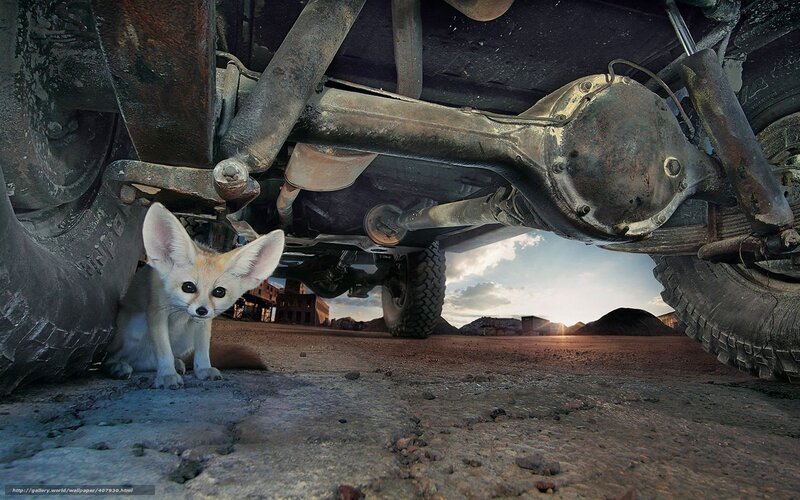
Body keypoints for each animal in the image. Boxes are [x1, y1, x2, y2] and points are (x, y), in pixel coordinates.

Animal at [103, 202, 285, 389]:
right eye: (188, 287)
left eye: (219, 292)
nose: (201, 311)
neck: (180, 313)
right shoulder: (157, 312)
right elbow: (164, 350)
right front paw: (167, 374)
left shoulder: (203, 323)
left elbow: (203, 350)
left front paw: (203, 369)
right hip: (135, 326)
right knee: (112, 359)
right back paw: (118, 367)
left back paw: (175, 363)